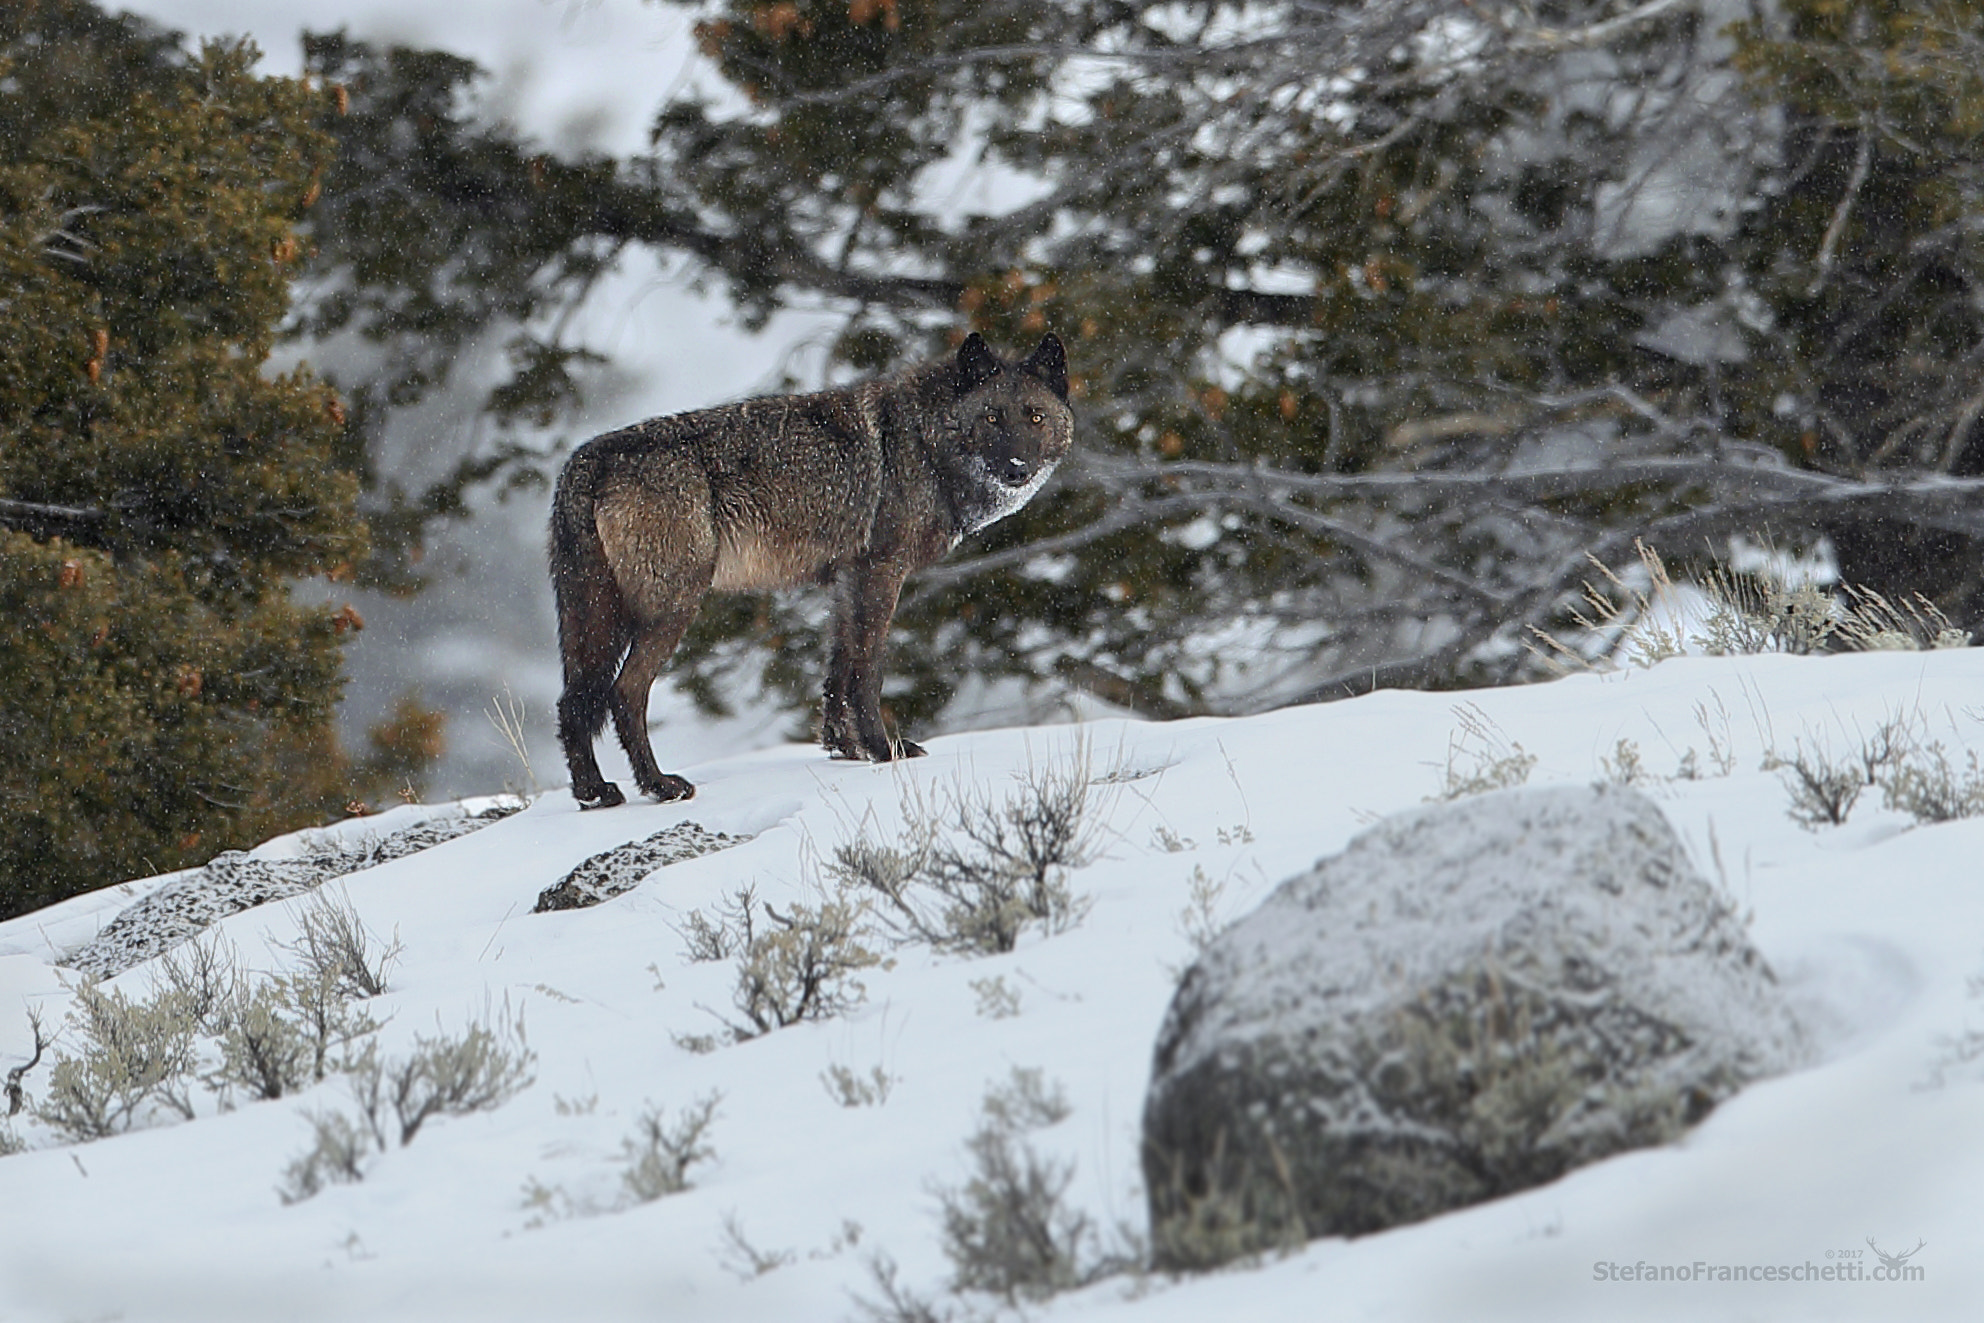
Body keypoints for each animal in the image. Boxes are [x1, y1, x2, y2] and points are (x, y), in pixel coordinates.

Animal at [551, 333, 1071, 809]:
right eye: (991, 417)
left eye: (1035, 417)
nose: (1017, 468)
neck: (923, 445)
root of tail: (586, 460)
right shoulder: (881, 572)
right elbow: (866, 673)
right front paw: (884, 750)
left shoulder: (845, 582)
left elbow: (837, 673)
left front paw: (846, 749)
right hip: (671, 609)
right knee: (624, 692)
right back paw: (660, 786)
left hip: (597, 619)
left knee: (574, 701)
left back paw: (594, 793)